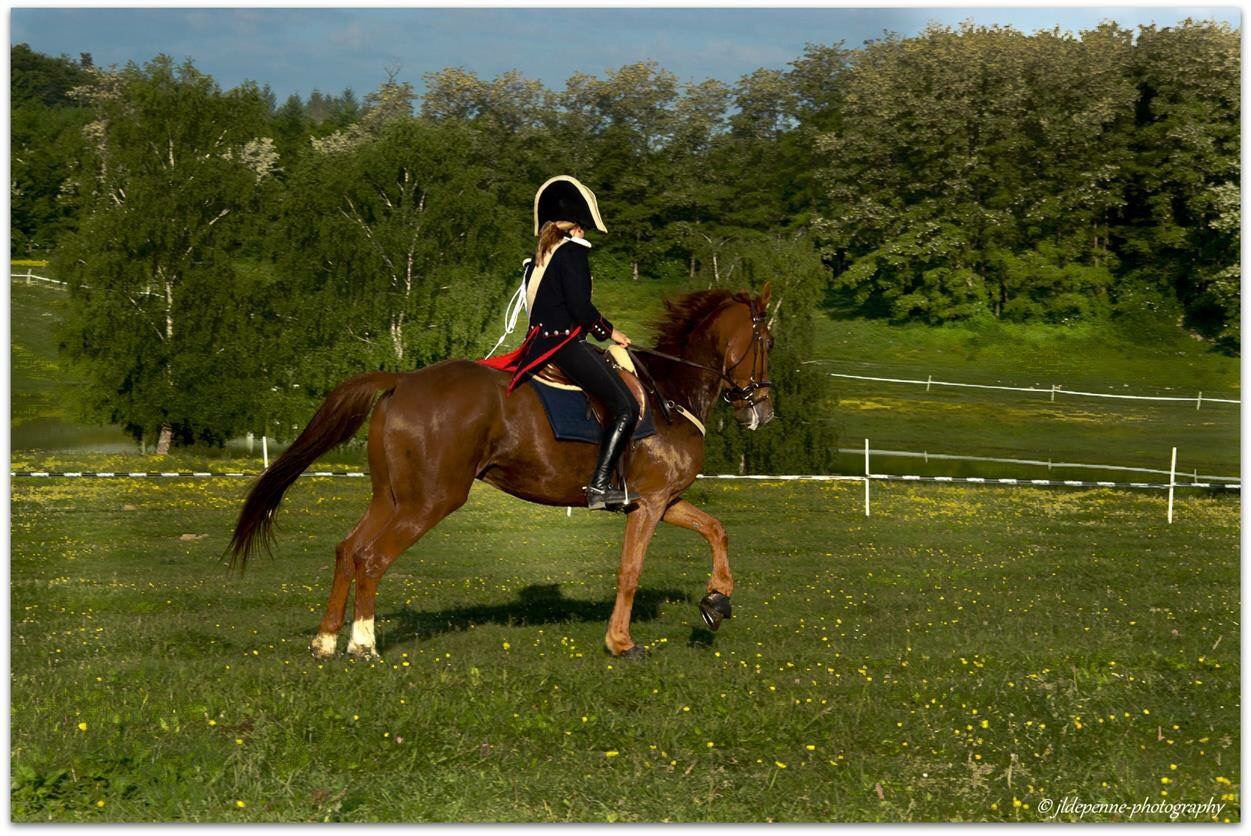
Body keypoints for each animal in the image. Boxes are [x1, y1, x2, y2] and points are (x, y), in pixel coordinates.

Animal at [226, 287, 770, 660]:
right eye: (766, 339)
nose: (760, 411)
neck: (669, 394)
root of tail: (403, 380)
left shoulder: (662, 501)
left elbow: (715, 529)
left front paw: (717, 600)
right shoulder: (651, 503)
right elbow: (630, 571)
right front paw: (621, 642)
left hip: (392, 497)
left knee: (348, 551)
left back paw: (325, 641)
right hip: (431, 500)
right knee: (373, 558)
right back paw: (363, 644)